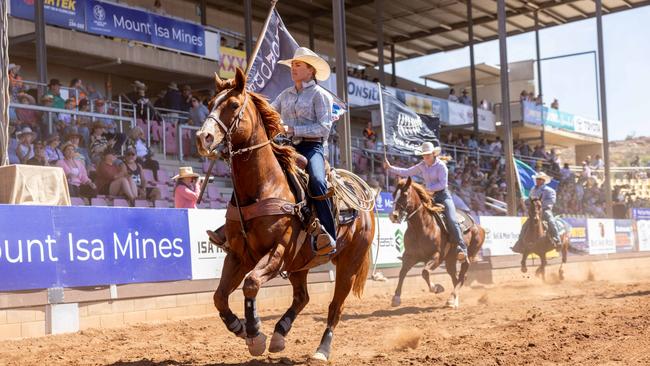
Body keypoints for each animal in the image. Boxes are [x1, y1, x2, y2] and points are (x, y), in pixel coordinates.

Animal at [195, 68, 372, 360]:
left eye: (233, 105)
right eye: (210, 104)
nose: (203, 137)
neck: (263, 186)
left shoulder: (278, 251)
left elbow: (251, 283)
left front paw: (255, 334)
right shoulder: (238, 254)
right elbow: (219, 296)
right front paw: (240, 328)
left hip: (348, 264)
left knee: (335, 307)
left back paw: (321, 350)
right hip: (301, 263)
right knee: (302, 297)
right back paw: (280, 333)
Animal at [388, 177, 484, 308]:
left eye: (405, 194)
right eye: (393, 194)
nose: (394, 216)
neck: (422, 227)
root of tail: (479, 227)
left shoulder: (437, 256)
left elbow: (424, 272)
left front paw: (437, 288)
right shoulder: (410, 256)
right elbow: (402, 272)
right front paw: (396, 298)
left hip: (467, 257)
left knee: (462, 276)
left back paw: (451, 300)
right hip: (450, 260)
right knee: (455, 277)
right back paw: (453, 301)